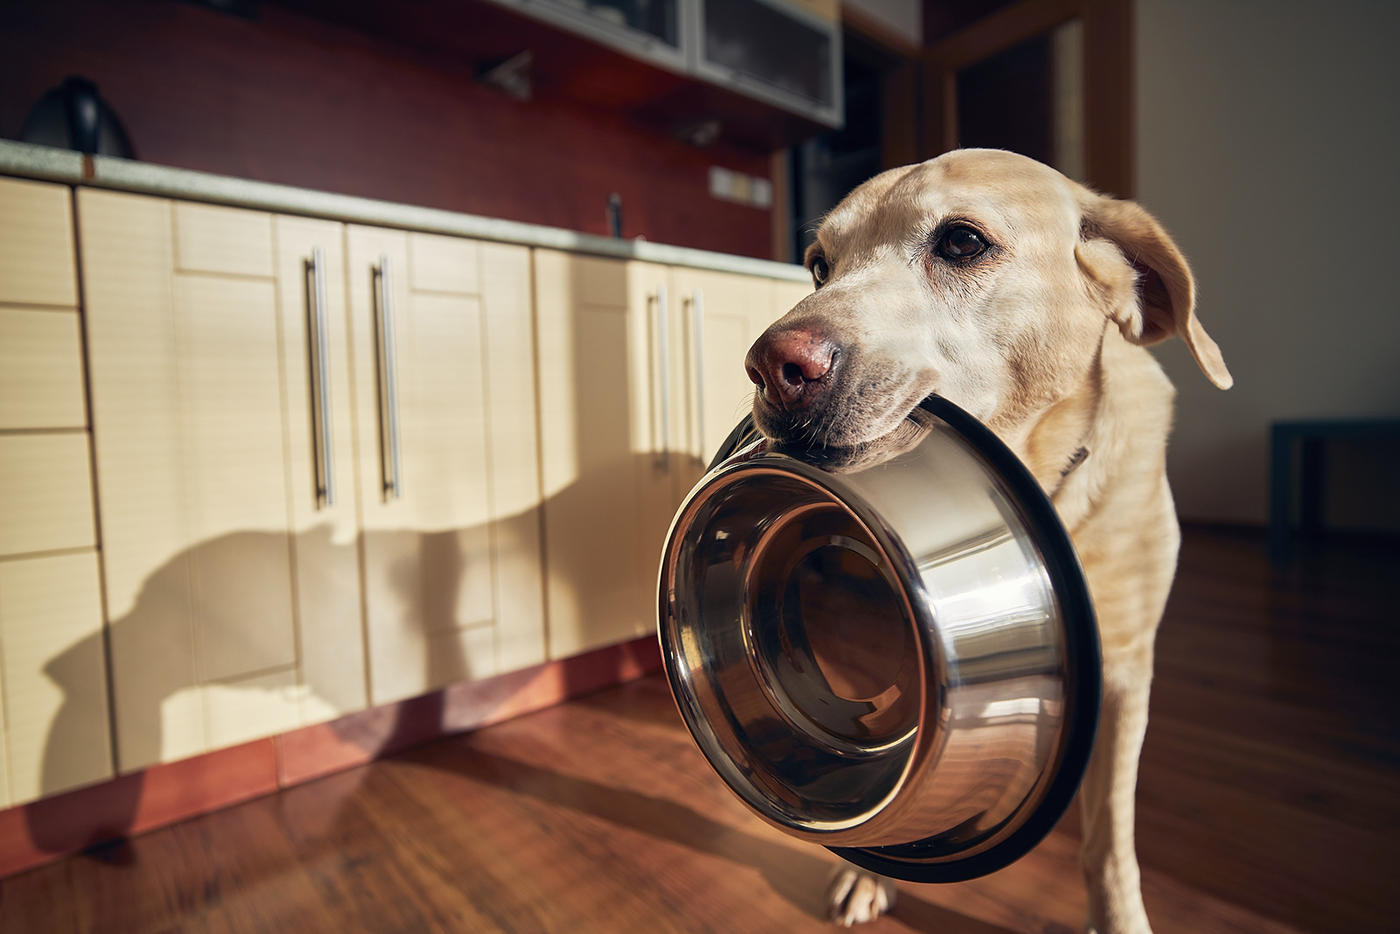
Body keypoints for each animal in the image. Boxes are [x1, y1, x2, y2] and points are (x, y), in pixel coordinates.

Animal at [750, 149, 1232, 929]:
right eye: (819, 265)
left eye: (962, 242)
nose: (770, 367)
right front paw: (869, 871)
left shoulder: (1128, 670)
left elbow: (1109, 836)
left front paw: (1121, 916)